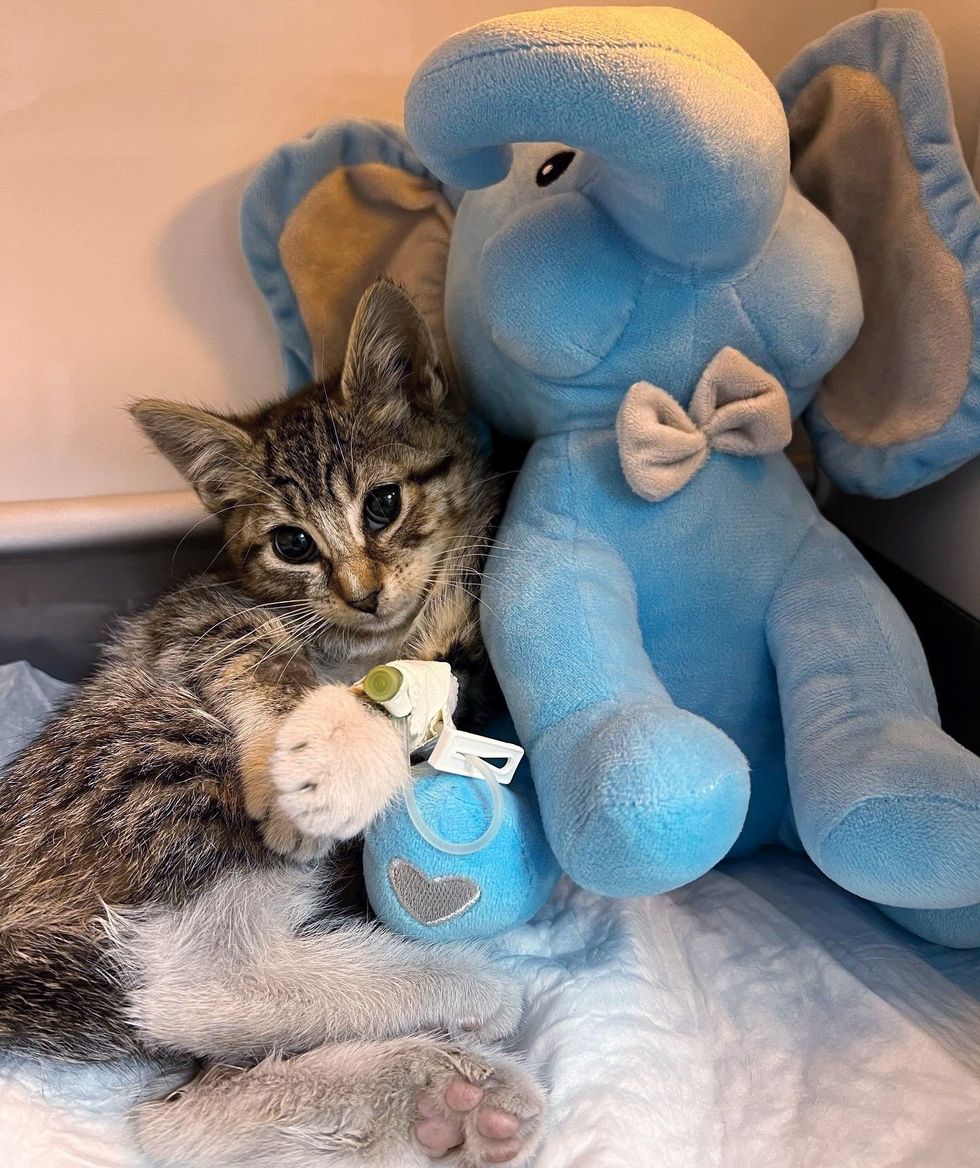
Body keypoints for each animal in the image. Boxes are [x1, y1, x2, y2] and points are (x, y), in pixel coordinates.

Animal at [0, 277, 544, 1163]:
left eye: (384, 504)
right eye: (292, 544)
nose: (363, 592)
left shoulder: (476, 649)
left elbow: (435, 682)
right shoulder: (199, 620)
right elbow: (270, 655)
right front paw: (327, 757)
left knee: (172, 1104)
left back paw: (448, 1097)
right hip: (163, 747)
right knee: (192, 991)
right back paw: (458, 1003)